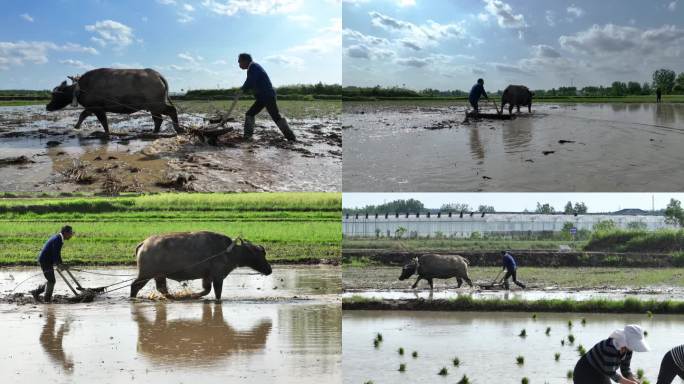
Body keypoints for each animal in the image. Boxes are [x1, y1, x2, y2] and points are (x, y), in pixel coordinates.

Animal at [46, 67, 183, 135]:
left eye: (55, 95)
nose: (47, 106)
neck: (81, 88)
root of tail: (157, 75)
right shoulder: (91, 108)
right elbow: (83, 115)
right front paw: (76, 126)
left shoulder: (97, 108)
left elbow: (102, 121)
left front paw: (107, 132)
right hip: (153, 107)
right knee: (158, 119)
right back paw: (154, 131)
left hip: (156, 104)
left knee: (171, 110)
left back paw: (178, 129)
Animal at [130, 231, 272, 300]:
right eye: (260, 254)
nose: (269, 270)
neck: (229, 252)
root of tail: (143, 243)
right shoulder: (218, 277)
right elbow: (217, 293)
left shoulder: (207, 276)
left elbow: (206, 290)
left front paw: (192, 295)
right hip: (146, 274)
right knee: (135, 286)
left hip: (159, 275)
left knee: (162, 289)